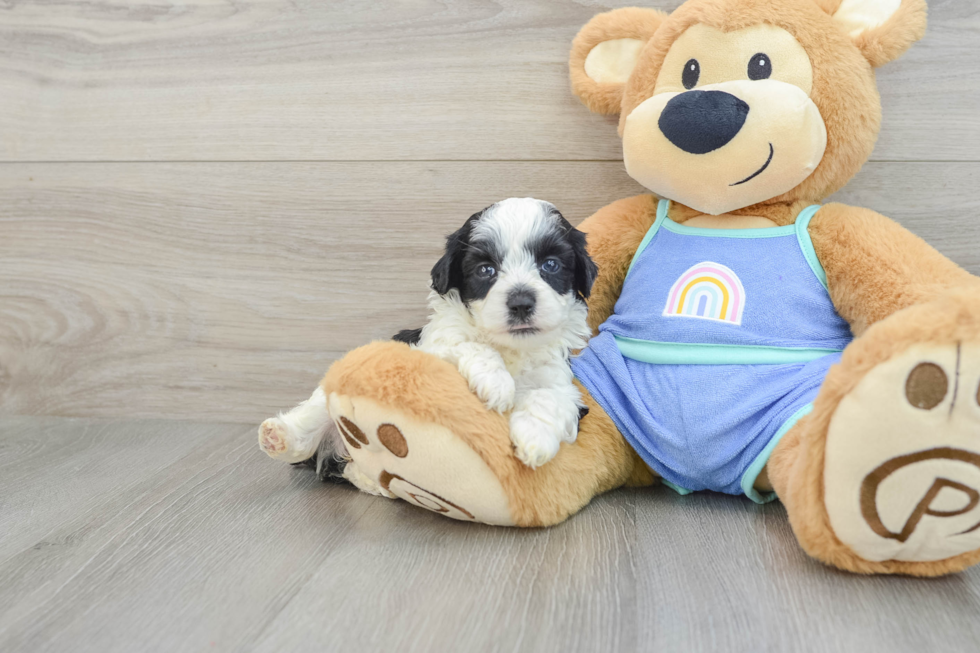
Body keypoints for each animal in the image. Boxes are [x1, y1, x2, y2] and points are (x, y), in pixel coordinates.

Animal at [260, 196, 596, 476]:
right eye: (485, 270)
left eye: (550, 265)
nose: (521, 302)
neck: (510, 349)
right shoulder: (429, 348)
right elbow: (466, 344)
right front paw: (496, 382)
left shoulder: (561, 382)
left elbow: (550, 396)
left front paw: (534, 439)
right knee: (311, 420)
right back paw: (279, 436)